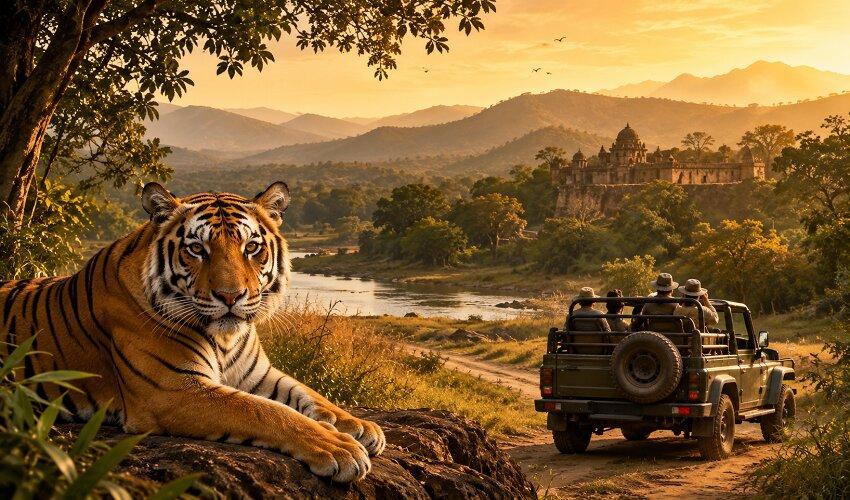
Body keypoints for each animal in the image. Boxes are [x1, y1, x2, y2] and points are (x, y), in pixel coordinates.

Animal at [0, 181, 384, 483]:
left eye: (251, 247)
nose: (231, 296)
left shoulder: (258, 375)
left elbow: (308, 394)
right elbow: (264, 411)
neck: (226, 338)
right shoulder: (172, 390)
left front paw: (360, 427)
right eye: (197, 249)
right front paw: (338, 447)